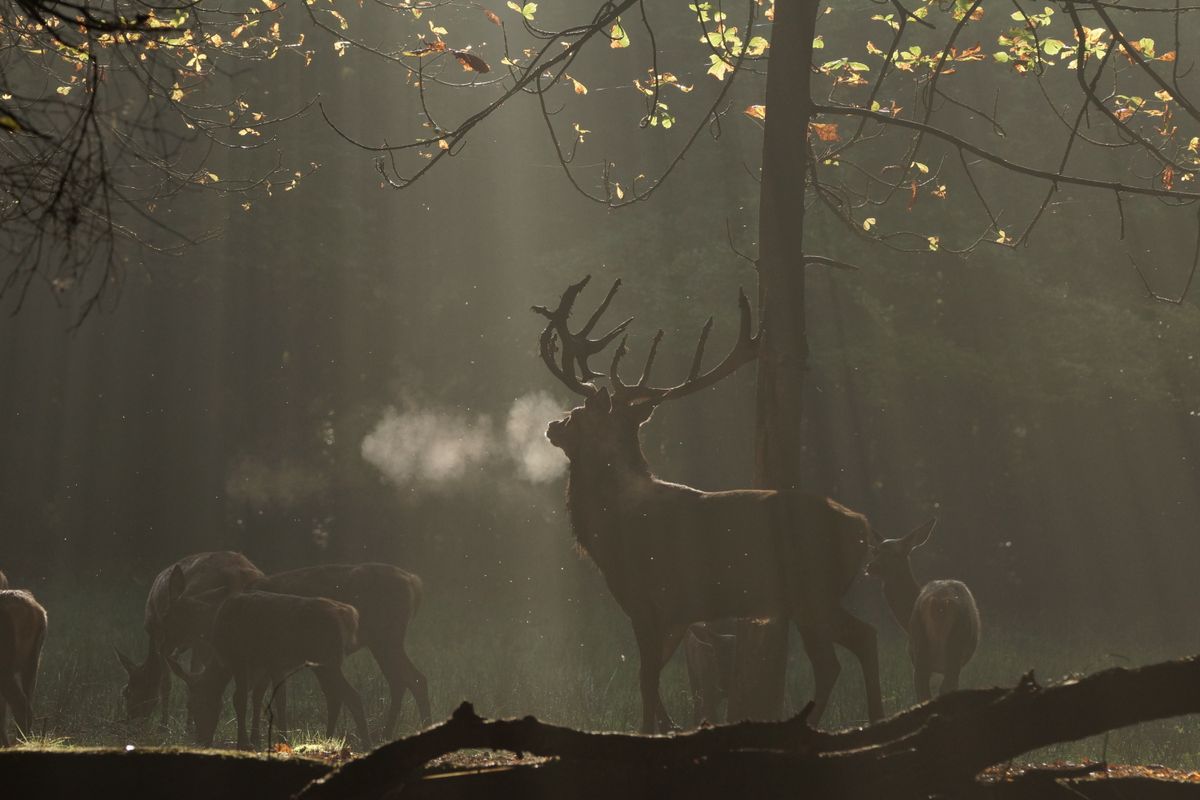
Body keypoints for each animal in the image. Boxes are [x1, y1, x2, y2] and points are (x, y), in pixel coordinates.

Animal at [166, 587, 367, 753]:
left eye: (194, 704)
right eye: (189, 705)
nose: (202, 740)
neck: (222, 656)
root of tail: (350, 616)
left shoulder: (241, 659)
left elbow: (241, 699)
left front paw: (245, 743)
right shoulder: (266, 666)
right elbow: (261, 698)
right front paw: (259, 739)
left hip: (328, 660)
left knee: (352, 696)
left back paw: (365, 742)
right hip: (324, 664)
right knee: (335, 696)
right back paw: (328, 740)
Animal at [540, 275, 888, 734]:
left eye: (578, 414)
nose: (552, 425)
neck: (609, 530)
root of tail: (861, 527)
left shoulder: (645, 600)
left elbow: (646, 682)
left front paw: (648, 730)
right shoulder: (679, 614)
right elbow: (653, 682)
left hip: (812, 591)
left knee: (833, 660)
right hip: (818, 595)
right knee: (865, 638)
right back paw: (875, 717)